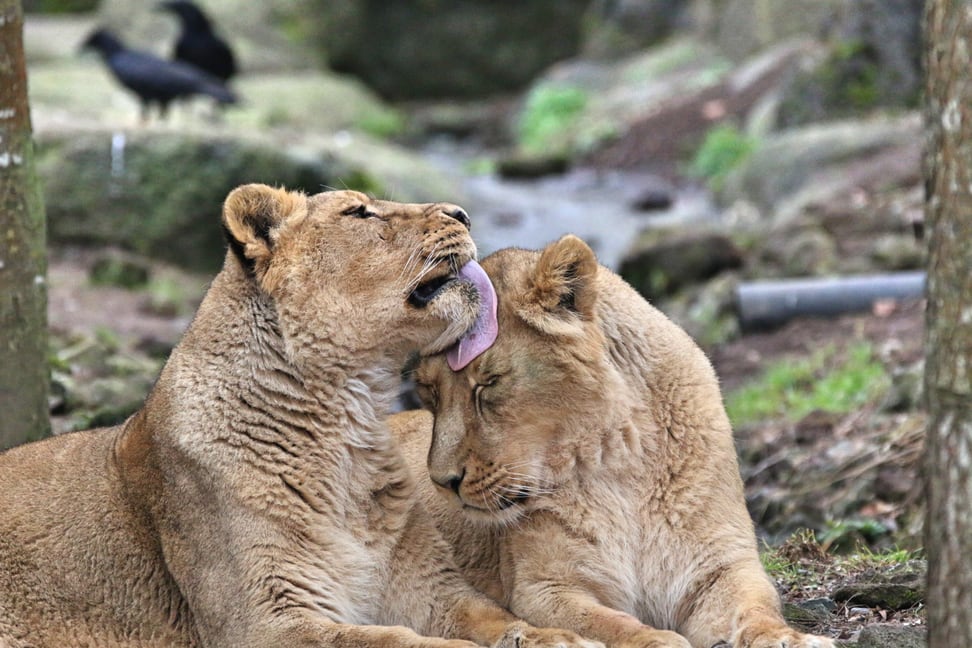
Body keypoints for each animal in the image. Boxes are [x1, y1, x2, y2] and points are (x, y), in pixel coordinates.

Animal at [0, 186, 600, 648]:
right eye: (360, 213)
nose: (463, 214)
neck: (348, 423)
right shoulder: (264, 621)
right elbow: (397, 642)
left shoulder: (428, 586)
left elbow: (494, 617)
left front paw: (556, 638)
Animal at [394, 235, 836, 648]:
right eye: (428, 392)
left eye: (488, 383)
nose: (444, 481)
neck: (620, 464)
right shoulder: (544, 588)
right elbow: (611, 623)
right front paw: (659, 640)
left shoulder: (720, 566)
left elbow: (755, 608)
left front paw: (787, 637)